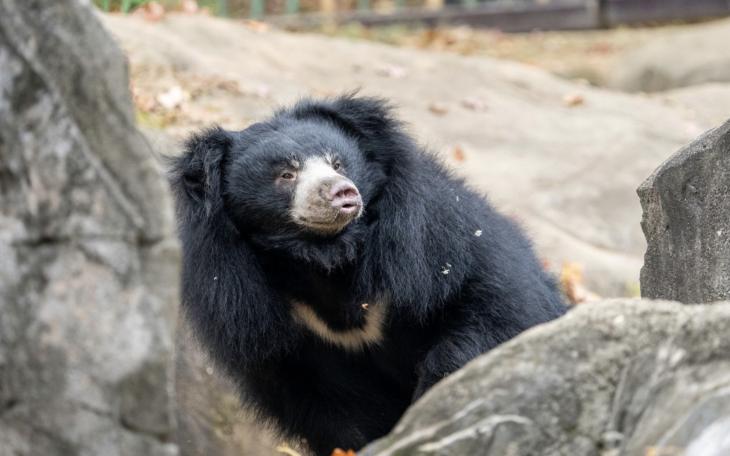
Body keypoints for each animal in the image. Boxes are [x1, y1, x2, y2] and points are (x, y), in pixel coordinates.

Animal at [168, 95, 566, 455]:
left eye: (338, 162)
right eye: (286, 174)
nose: (341, 192)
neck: (326, 258)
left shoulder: (434, 243)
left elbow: (494, 313)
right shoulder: (255, 311)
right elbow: (334, 408)